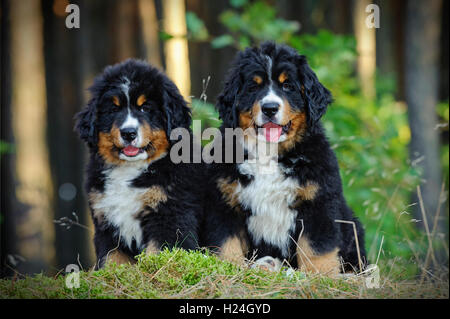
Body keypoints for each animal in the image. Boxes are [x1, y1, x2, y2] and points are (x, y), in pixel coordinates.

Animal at [74, 59, 201, 268]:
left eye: (145, 108)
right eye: (113, 109)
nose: (128, 133)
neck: (130, 169)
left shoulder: (169, 216)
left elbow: (157, 252)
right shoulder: (106, 222)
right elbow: (111, 259)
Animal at [202, 42, 368, 276]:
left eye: (287, 86)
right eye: (253, 87)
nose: (270, 108)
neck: (269, 153)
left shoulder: (318, 203)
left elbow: (317, 250)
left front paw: (321, 276)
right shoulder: (225, 203)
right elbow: (227, 245)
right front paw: (229, 269)